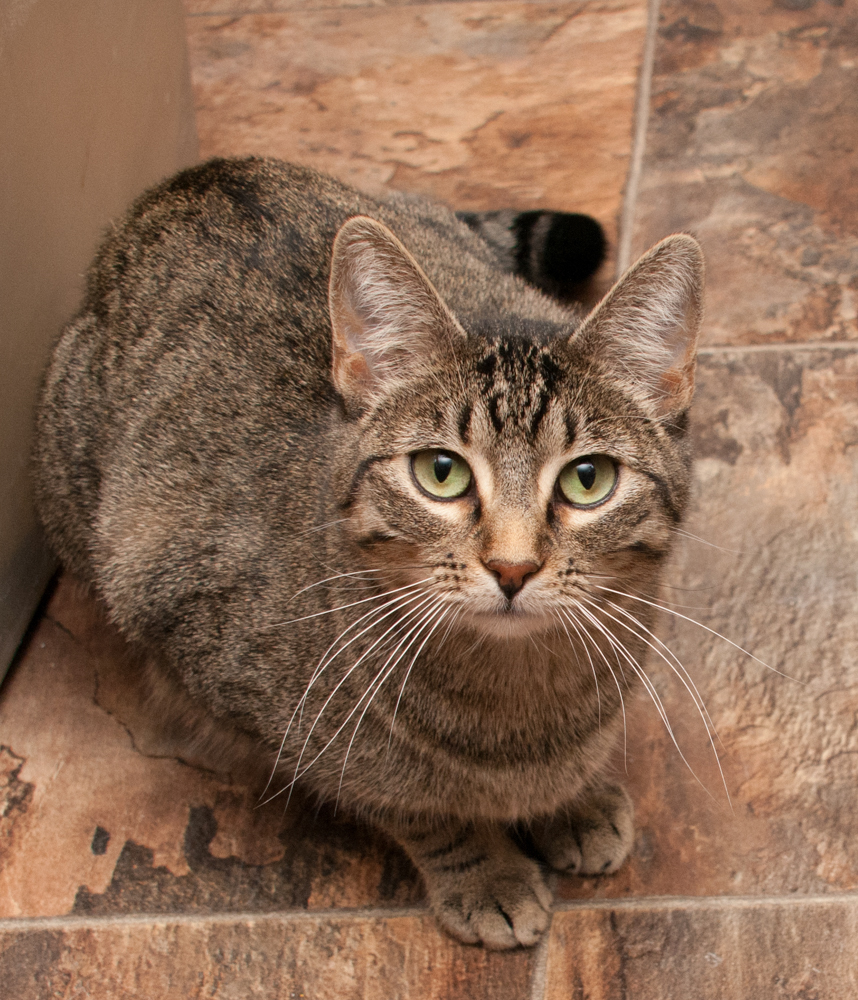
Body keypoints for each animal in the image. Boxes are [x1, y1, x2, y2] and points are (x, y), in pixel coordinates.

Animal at [35, 156, 704, 944]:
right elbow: (414, 809)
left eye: (587, 478)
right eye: (440, 472)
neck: (521, 703)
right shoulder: (256, 692)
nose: (512, 567)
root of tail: (200, 174)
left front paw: (574, 799)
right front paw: (486, 871)